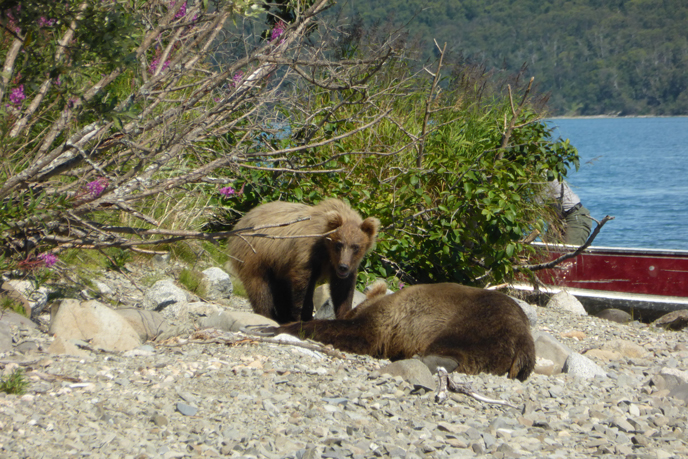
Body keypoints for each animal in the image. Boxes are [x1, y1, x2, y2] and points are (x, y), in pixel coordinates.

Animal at [227, 199, 378, 326]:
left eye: (356, 247)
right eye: (339, 244)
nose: (343, 267)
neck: (327, 251)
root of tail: (241, 221)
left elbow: (343, 291)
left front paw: (344, 315)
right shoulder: (307, 253)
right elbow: (303, 286)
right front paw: (302, 316)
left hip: (277, 264)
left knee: (280, 288)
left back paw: (282, 317)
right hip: (256, 254)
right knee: (259, 286)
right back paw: (269, 316)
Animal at [260, 282, 536, 382]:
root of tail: (525, 341)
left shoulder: (386, 322)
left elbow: (359, 334)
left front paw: (270, 327)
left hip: (478, 318)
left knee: (459, 343)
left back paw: (426, 359)